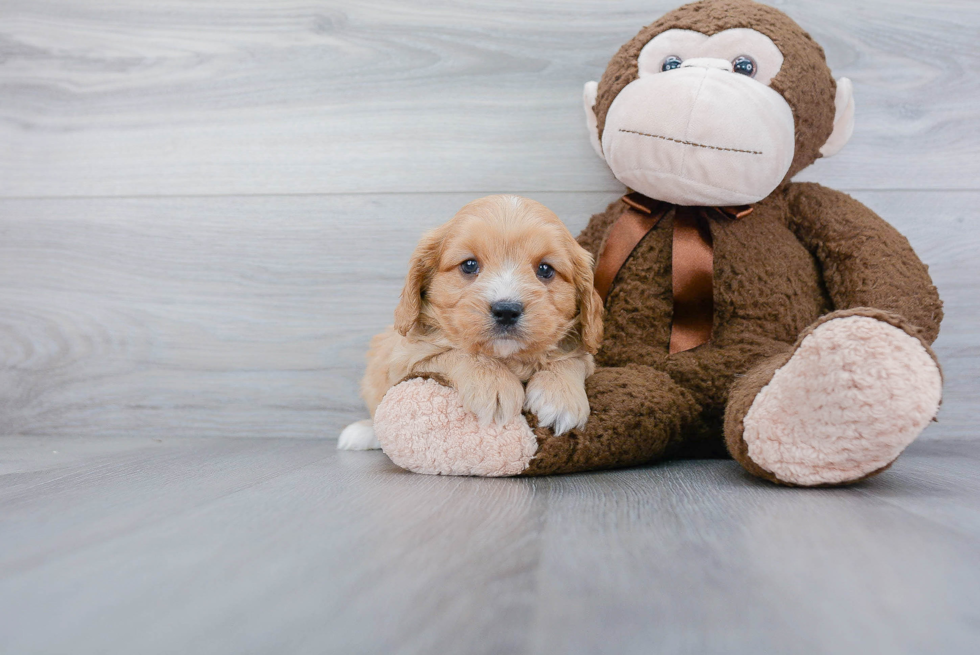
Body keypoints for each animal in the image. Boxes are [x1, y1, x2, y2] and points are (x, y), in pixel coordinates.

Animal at [340, 195, 608, 452]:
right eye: (469, 265)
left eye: (545, 269)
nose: (506, 311)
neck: (507, 358)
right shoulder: (407, 359)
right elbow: (456, 352)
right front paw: (494, 384)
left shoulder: (584, 354)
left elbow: (573, 358)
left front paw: (560, 397)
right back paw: (362, 432)